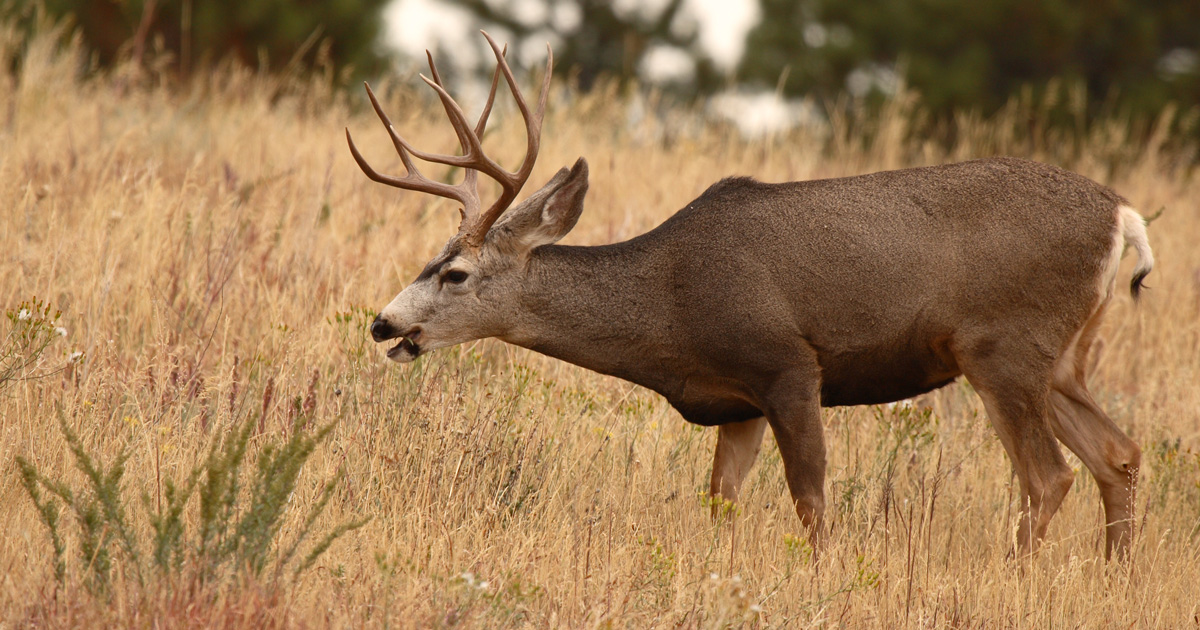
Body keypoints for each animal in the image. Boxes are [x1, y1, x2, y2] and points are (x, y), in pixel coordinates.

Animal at [347, 33, 1154, 560]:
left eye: (455, 273)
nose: (383, 324)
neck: (670, 303)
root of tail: (1123, 214)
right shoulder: (736, 404)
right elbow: (720, 501)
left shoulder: (786, 364)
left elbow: (811, 497)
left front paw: (824, 578)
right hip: (1062, 357)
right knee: (1118, 454)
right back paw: (1113, 578)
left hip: (1002, 347)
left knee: (1048, 476)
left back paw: (1022, 575)